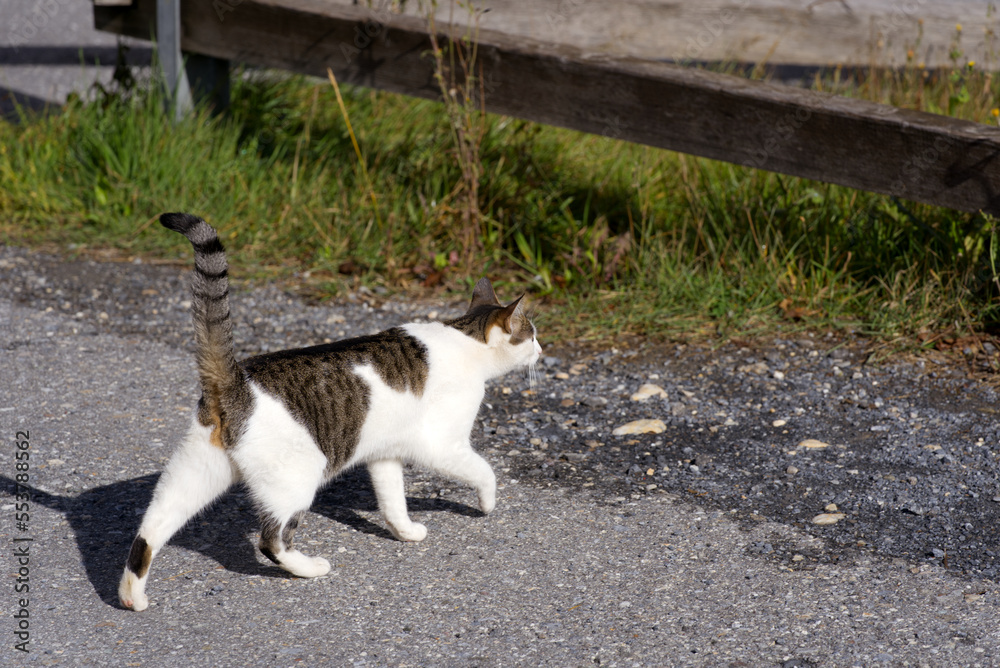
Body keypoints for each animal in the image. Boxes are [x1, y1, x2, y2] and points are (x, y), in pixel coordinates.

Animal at [118, 213, 544, 612]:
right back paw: (309, 567)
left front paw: (405, 532)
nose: (542, 351)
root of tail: (234, 381)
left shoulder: (384, 453)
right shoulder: (441, 445)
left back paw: (131, 594)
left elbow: (393, 500)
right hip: (297, 474)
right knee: (271, 540)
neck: (467, 339)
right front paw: (487, 504)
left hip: (196, 472)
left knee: (150, 528)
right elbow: (484, 471)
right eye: (533, 334)